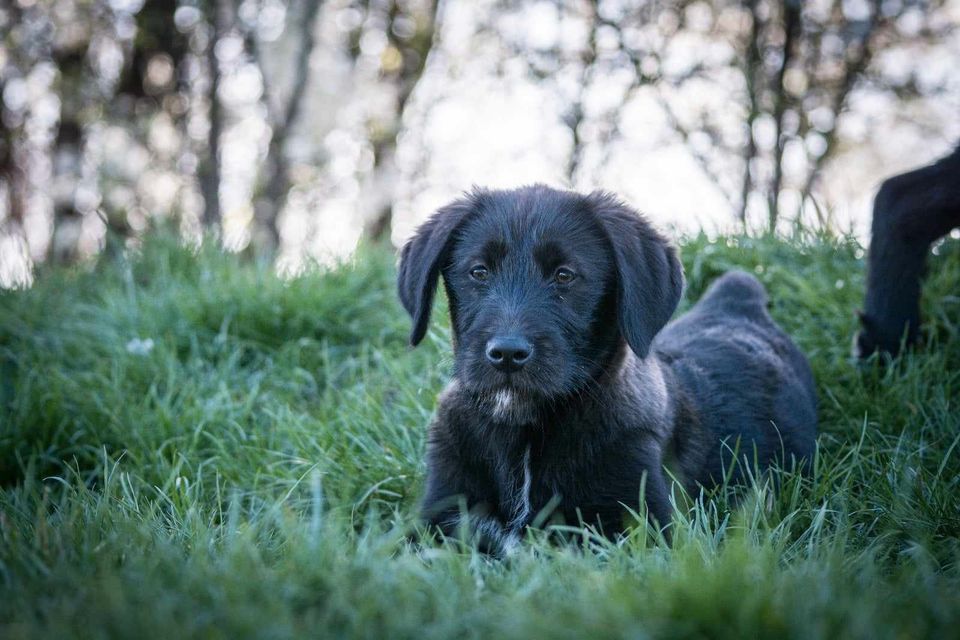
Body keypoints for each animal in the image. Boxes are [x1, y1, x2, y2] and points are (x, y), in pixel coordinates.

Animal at [398, 182, 816, 552]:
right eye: (479, 272)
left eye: (564, 275)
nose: (507, 353)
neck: (522, 431)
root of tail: (737, 303)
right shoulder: (440, 515)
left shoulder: (644, 527)